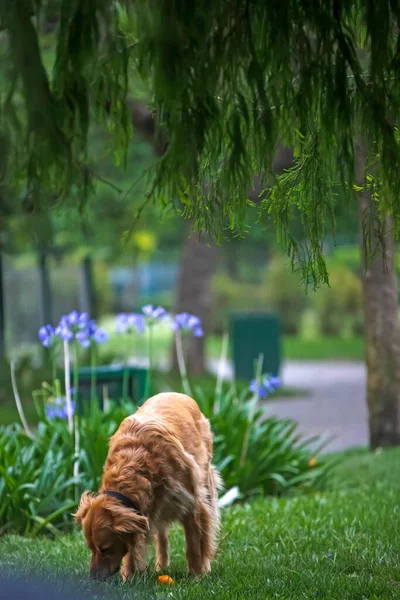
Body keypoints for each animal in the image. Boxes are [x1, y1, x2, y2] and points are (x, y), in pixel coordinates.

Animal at [73, 392, 220, 580]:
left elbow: (194, 545)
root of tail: (177, 394)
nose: (93, 578)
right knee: (162, 538)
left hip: (205, 484)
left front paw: (196, 576)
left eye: (104, 549)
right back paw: (161, 567)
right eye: (90, 547)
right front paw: (129, 578)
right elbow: (131, 550)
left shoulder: (193, 504)